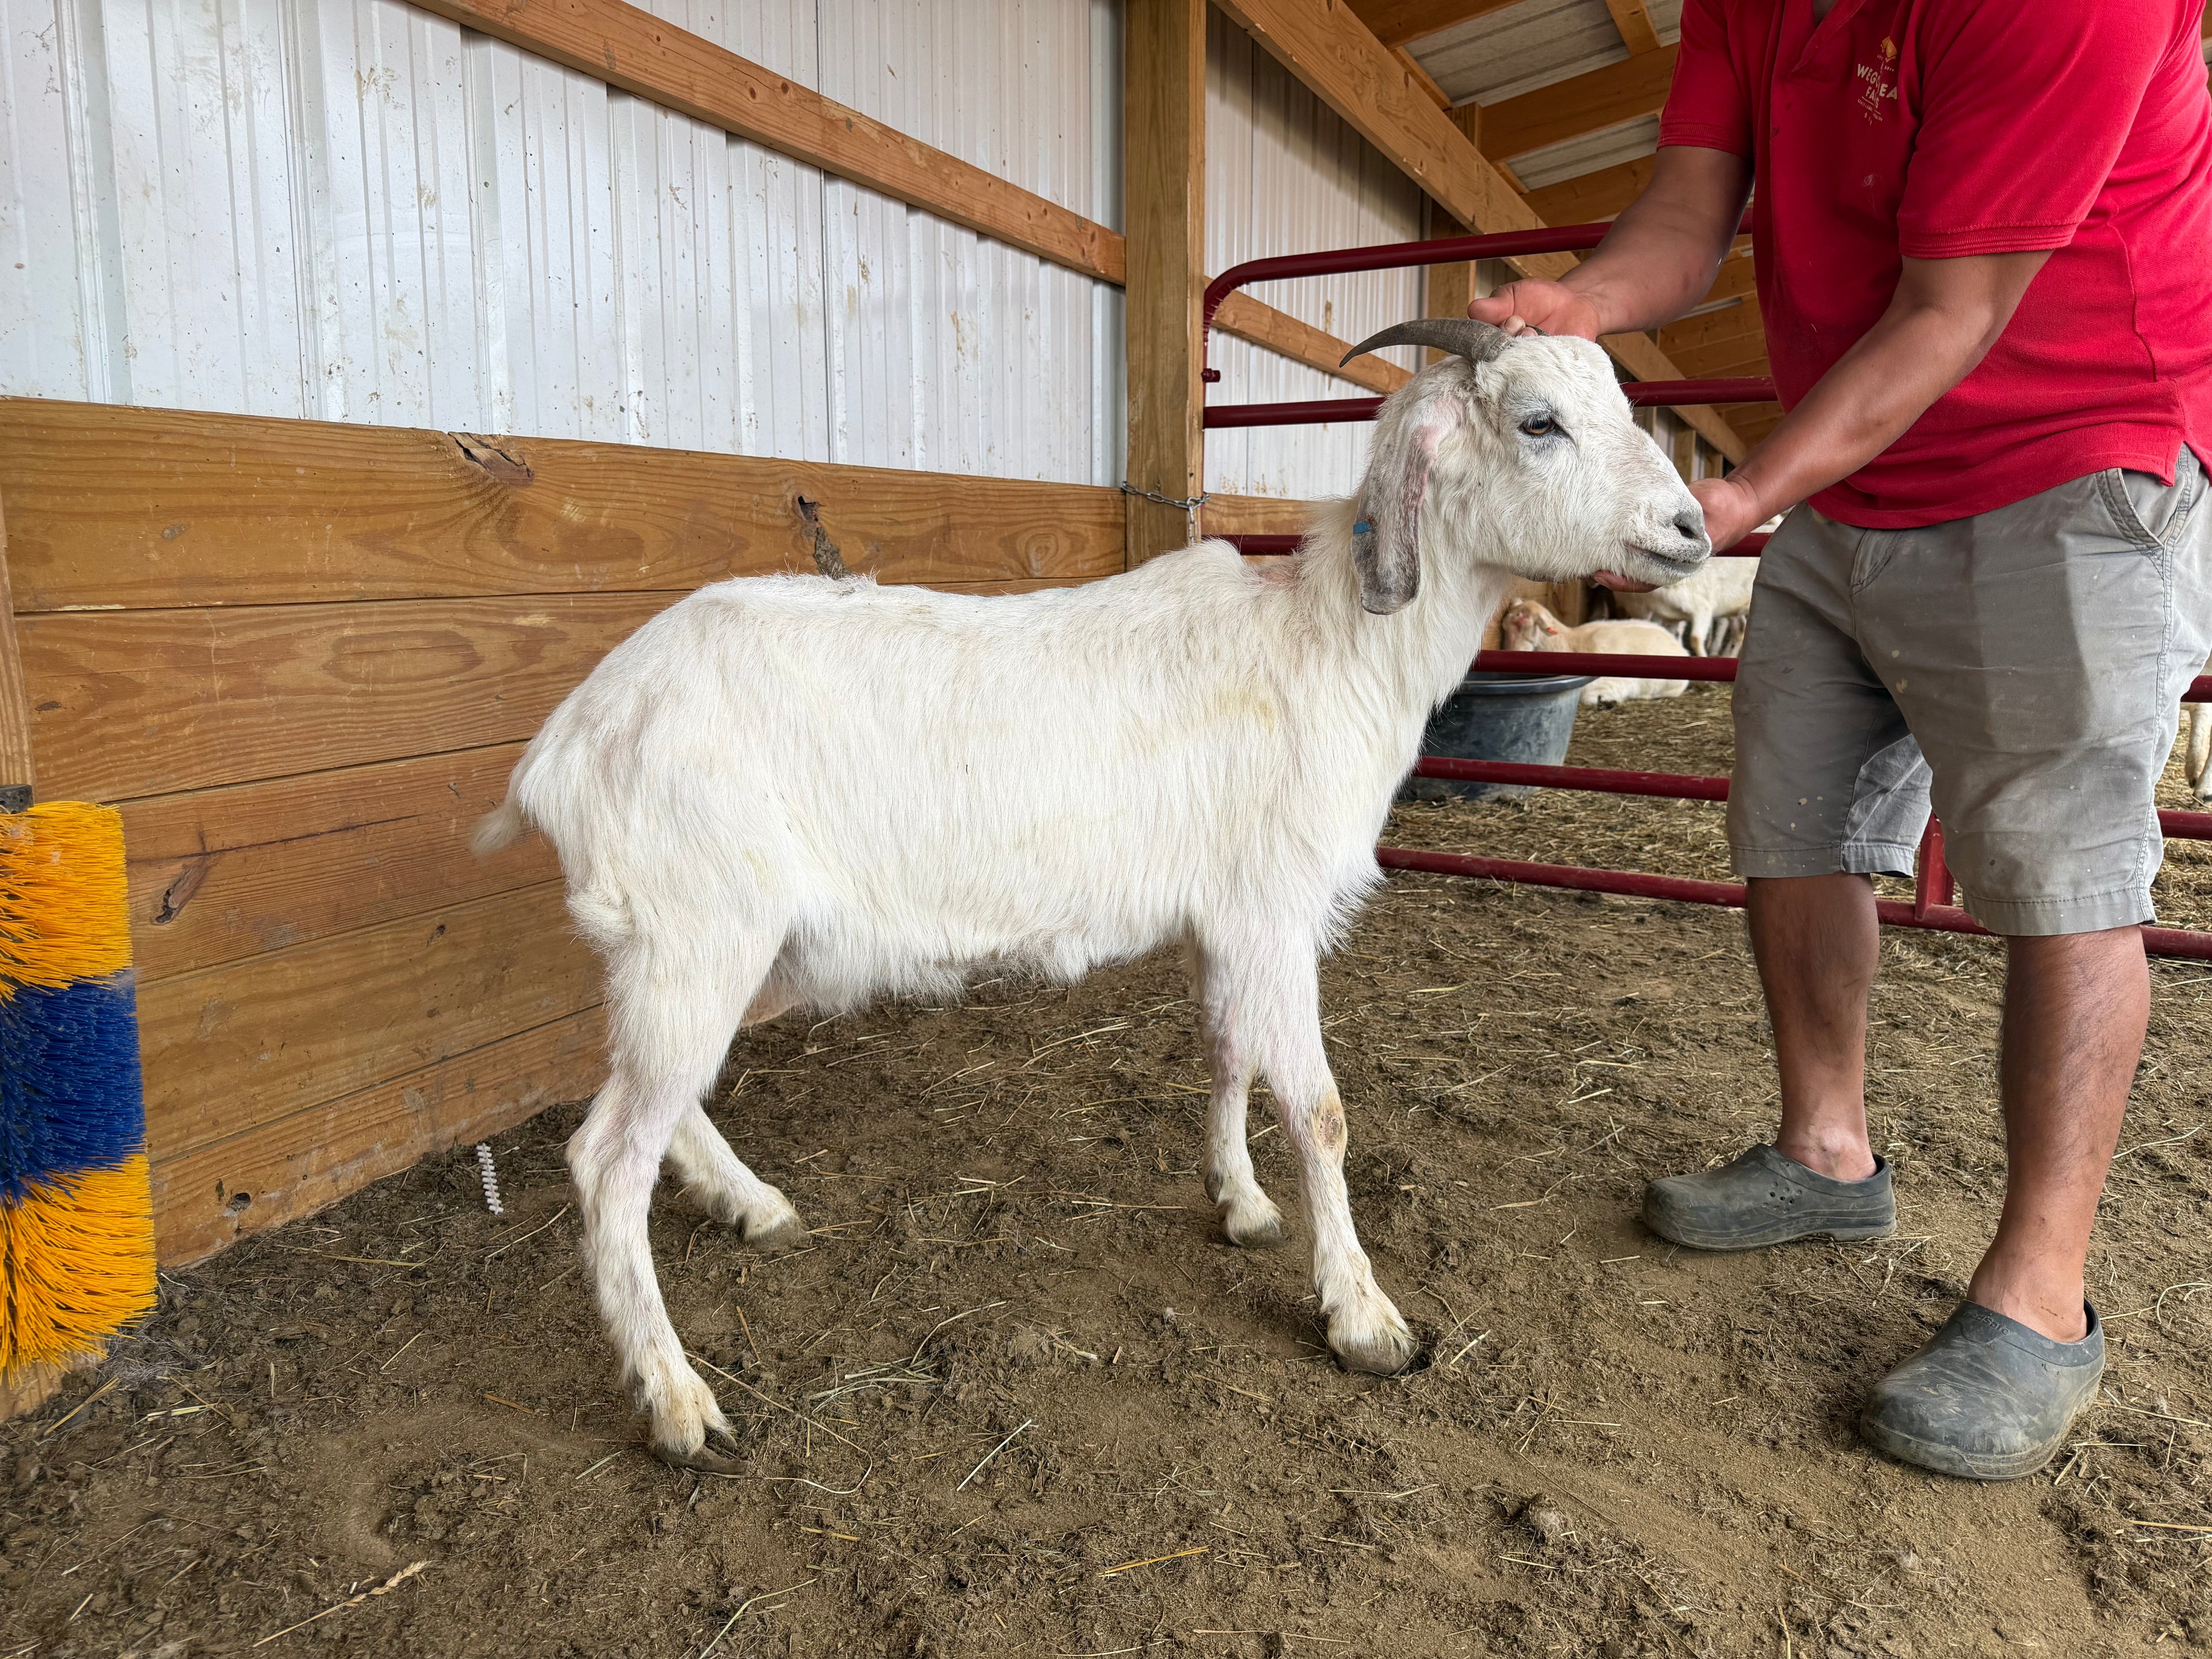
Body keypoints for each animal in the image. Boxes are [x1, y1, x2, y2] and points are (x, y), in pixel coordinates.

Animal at [1500, 599, 1690, 706]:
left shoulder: (1606, 688)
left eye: (1523, 623)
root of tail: (1682, 649)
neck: (1568, 644)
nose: (1511, 652)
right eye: (1504, 626)